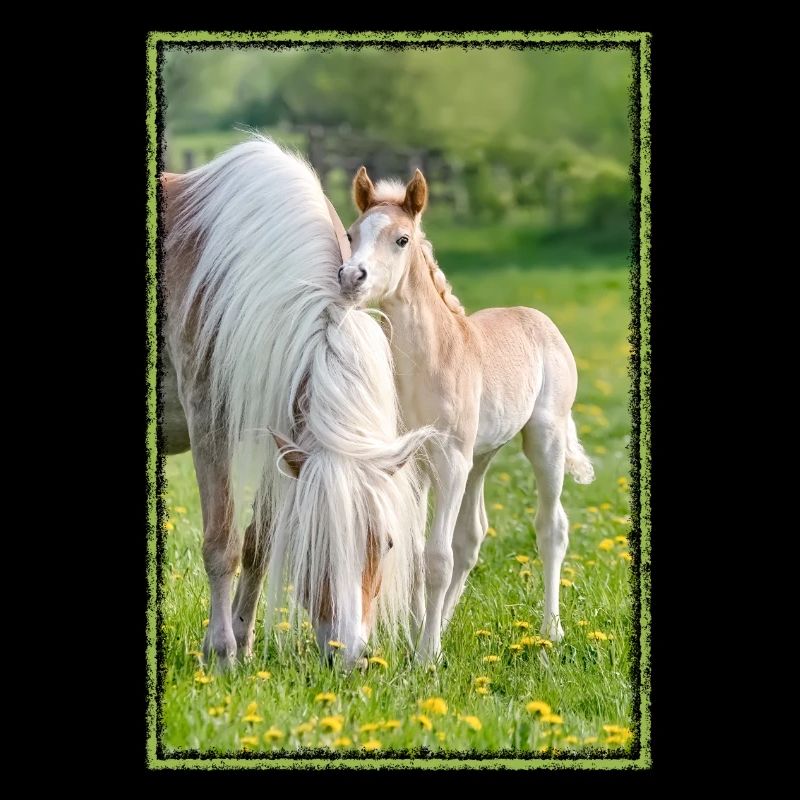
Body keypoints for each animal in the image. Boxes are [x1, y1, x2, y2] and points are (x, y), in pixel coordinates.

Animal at [160, 137, 433, 670]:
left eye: (388, 542)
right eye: (315, 542)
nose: (349, 656)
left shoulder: (282, 430)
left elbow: (258, 543)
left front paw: (241, 641)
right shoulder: (209, 421)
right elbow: (222, 543)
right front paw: (221, 652)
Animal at [337, 167, 595, 662]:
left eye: (401, 239)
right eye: (351, 233)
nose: (350, 277)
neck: (430, 361)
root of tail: (538, 318)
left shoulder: (450, 458)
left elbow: (438, 557)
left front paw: (425, 656)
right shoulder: (414, 463)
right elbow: (420, 551)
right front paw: (419, 635)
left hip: (542, 440)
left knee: (551, 527)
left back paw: (551, 630)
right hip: (480, 457)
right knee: (472, 537)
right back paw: (444, 623)